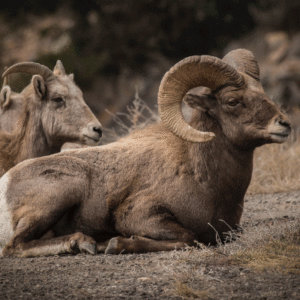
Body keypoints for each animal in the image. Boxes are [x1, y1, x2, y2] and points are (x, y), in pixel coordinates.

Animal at [0, 49, 290, 258]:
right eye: (233, 101)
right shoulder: (139, 215)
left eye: (262, 93)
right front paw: (114, 244)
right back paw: (83, 243)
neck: (206, 180)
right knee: (14, 246)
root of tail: (6, 183)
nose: (284, 124)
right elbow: (188, 237)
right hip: (64, 189)